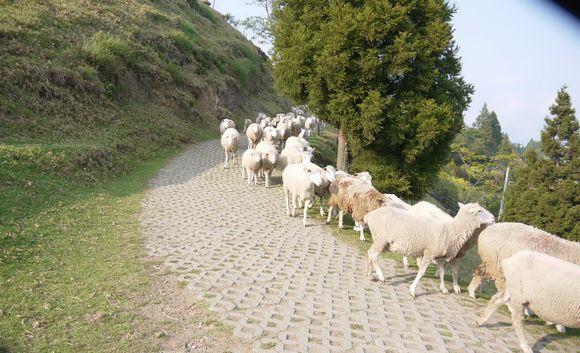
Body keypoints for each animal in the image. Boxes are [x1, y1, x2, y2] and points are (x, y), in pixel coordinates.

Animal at [362, 201, 494, 296]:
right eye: (479, 210)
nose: (493, 218)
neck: (452, 230)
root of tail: (370, 215)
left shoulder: (440, 256)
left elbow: (442, 272)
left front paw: (443, 288)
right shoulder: (430, 253)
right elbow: (422, 272)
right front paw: (412, 290)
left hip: (380, 240)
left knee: (369, 253)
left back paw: (369, 275)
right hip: (381, 239)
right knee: (373, 255)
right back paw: (381, 277)